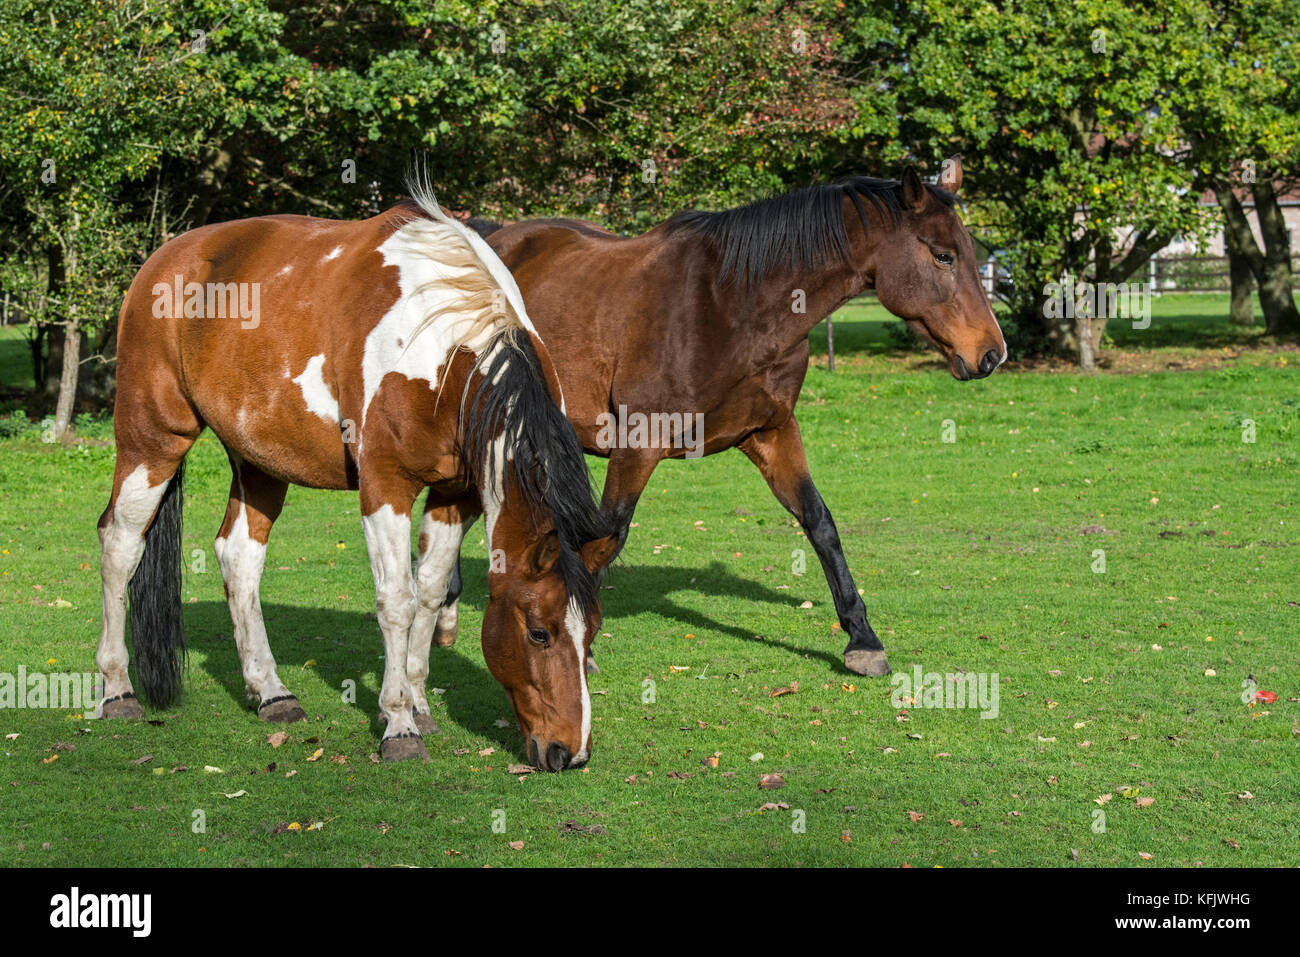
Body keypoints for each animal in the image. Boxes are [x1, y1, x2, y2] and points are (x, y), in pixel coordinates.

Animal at [95, 185, 619, 770]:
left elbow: (430, 591)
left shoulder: (457, 493)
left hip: (258, 459)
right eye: (539, 633)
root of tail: (164, 259)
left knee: (239, 557)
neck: (444, 342)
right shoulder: (384, 485)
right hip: (152, 440)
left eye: (593, 635)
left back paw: (271, 691)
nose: (570, 752)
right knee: (120, 545)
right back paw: (116, 690)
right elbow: (397, 601)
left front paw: (419, 702)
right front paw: (398, 723)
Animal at [423, 156, 1004, 680]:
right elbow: (607, 537)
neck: (730, 306)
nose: (991, 354)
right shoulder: (638, 445)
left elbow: (821, 524)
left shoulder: (772, 434)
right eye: (943, 256)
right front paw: (580, 648)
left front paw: (862, 639)